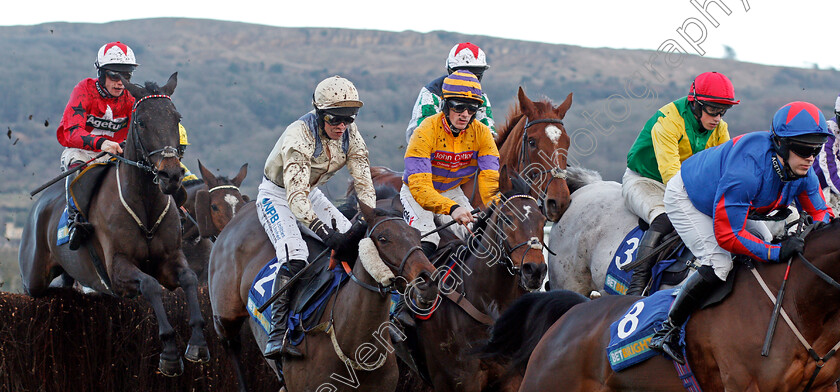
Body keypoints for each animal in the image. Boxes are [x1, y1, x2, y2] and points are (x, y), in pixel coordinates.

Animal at [18, 73, 210, 376]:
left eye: (176, 117)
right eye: (141, 121)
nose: (170, 175)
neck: (144, 206)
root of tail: (39, 206)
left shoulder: (170, 260)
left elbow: (189, 278)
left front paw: (198, 344)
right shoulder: (118, 269)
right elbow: (150, 286)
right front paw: (169, 353)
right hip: (32, 275)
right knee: (37, 289)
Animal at [209, 201, 440, 390]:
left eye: (418, 235)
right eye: (383, 238)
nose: (429, 281)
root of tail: (241, 211)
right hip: (225, 314)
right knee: (231, 343)